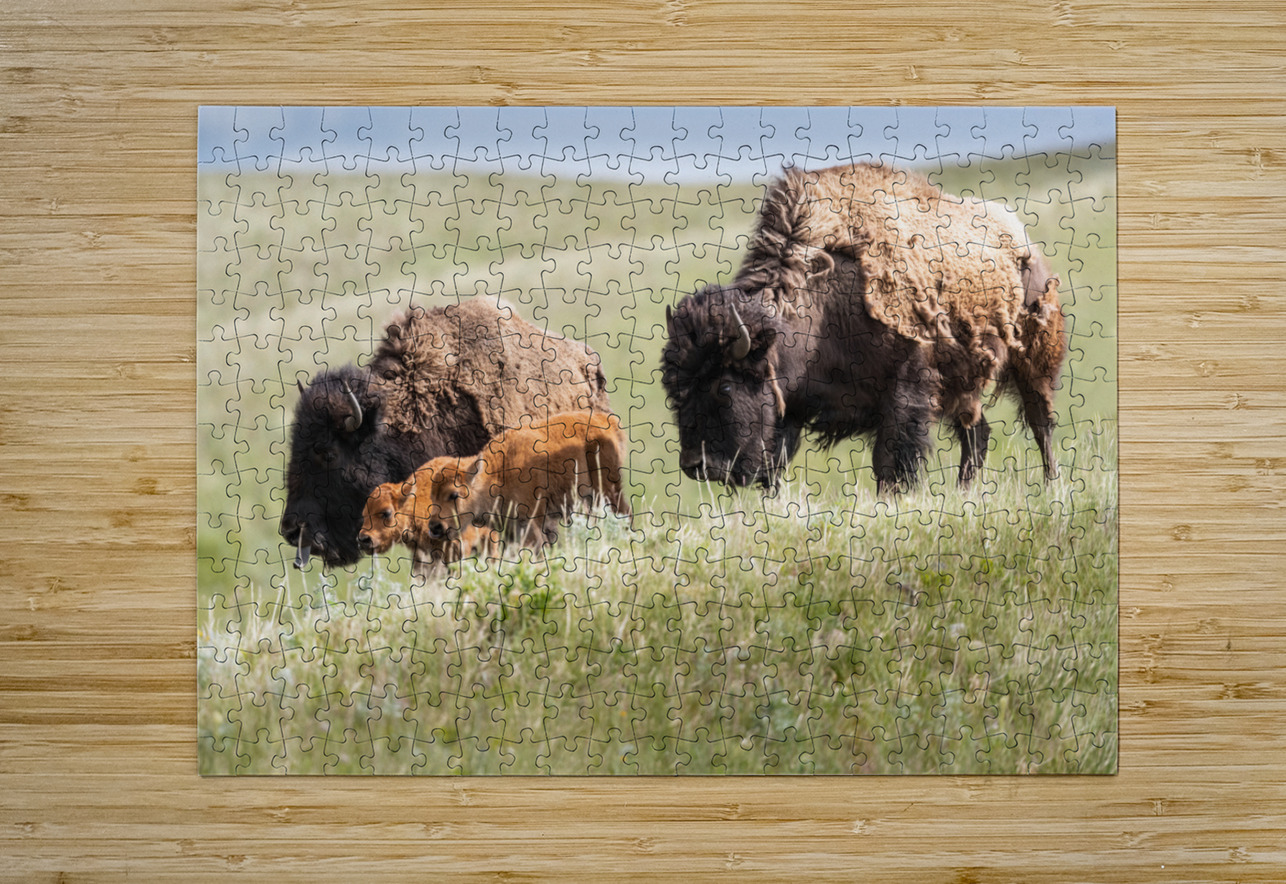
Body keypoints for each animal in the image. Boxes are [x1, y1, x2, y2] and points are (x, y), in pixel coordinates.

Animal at [415, 412, 632, 551]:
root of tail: (606, 420)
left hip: (609, 489)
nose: (435, 527)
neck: (498, 474)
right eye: (432, 496)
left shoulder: (531, 520)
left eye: (454, 495)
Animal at [660, 163, 1067, 494]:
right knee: (977, 434)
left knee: (1040, 423)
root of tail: (1026, 245)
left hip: (1033, 361)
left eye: (725, 385)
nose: (697, 466)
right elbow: (777, 463)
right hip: (966, 385)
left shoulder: (905, 391)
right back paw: (965, 492)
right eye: (675, 388)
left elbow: (891, 460)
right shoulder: (791, 408)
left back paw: (1052, 486)